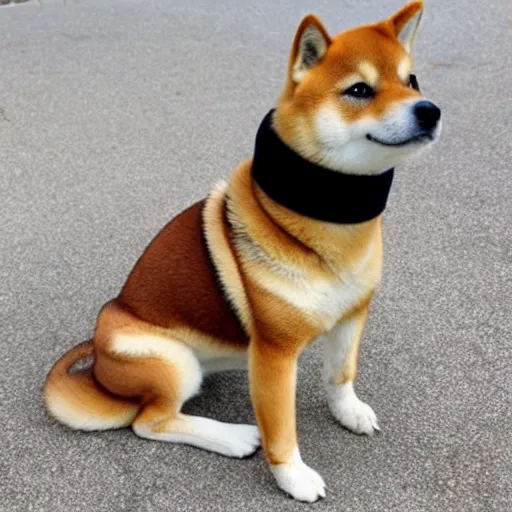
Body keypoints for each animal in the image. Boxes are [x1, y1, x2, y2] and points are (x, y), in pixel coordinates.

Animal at [45, 2, 440, 502]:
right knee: (148, 422)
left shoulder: (352, 316)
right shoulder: (275, 355)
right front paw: (294, 478)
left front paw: (348, 411)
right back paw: (233, 437)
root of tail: (98, 359)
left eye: (412, 81)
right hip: (171, 361)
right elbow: (281, 431)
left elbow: (340, 376)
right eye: (359, 90)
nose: (430, 111)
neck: (331, 223)